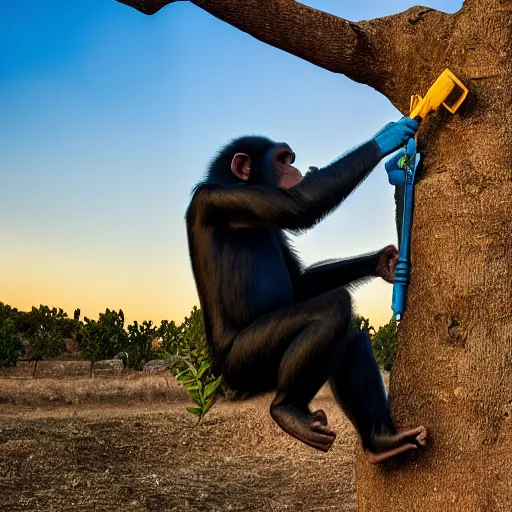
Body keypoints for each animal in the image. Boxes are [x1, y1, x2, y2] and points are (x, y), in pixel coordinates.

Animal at [186, 118, 426, 462]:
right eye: (281, 159)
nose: (295, 168)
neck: (233, 182)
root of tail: (220, 375)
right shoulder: (224, 200)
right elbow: (298, 205)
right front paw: (389, 136)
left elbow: (300, 282)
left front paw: (386, 263)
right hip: (244, 363)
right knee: (333, 307)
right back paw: (287, 409)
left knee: (352, 338)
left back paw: (382, 440)